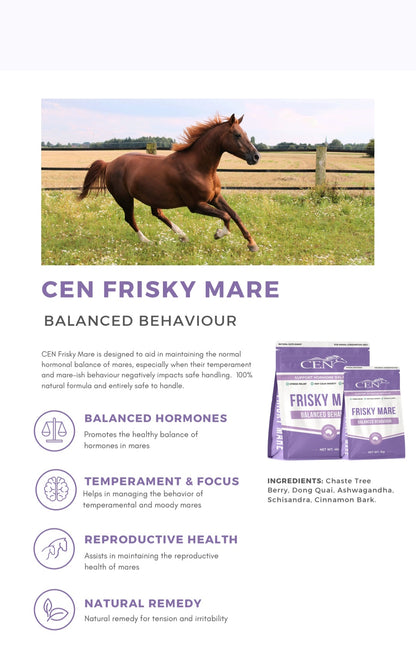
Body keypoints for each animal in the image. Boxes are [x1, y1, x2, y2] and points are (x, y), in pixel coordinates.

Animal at [79, 114, 260, 252]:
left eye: (245, 133)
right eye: (237, 135)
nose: (256, 156)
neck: (199, 167)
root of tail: (109, 164)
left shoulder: (215, 198)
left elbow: (234, 214)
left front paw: (252, 245)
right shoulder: (195, 205)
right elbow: (226, 215)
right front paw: (218, 234)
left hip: (152, 197)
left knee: (157, 213)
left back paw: (183, 236)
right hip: (124, 198)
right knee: (130, 218)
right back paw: (147, 241)